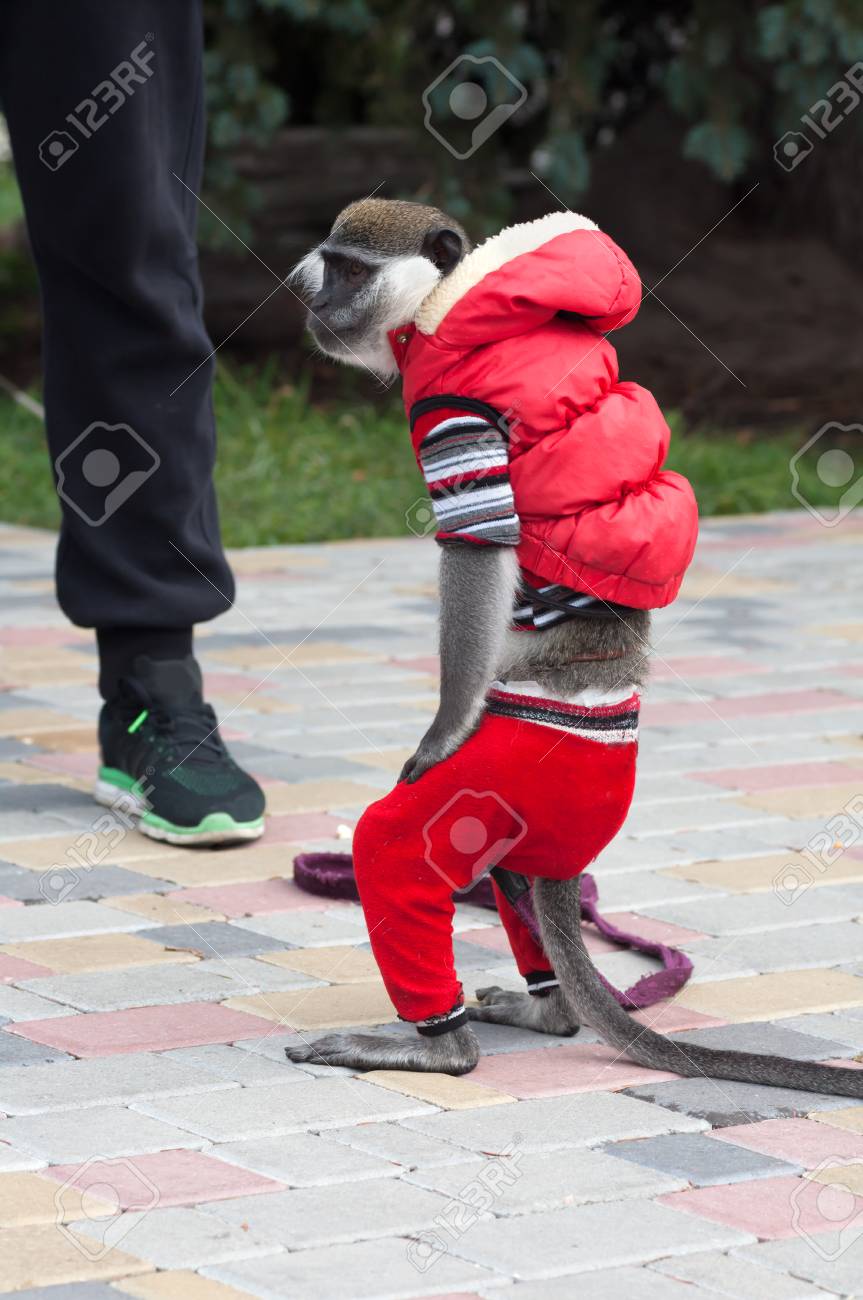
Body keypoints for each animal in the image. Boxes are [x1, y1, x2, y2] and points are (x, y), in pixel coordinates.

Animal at [285, 198, 863, 1100]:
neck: (453, 300)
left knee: (395, 846)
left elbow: (479, 544)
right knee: (511, 874)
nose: (307, 291)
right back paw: (549, 1009)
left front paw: (439, 732)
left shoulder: (449, 410)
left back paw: (438, 1047)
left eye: (347, 269)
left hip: (517, 772)